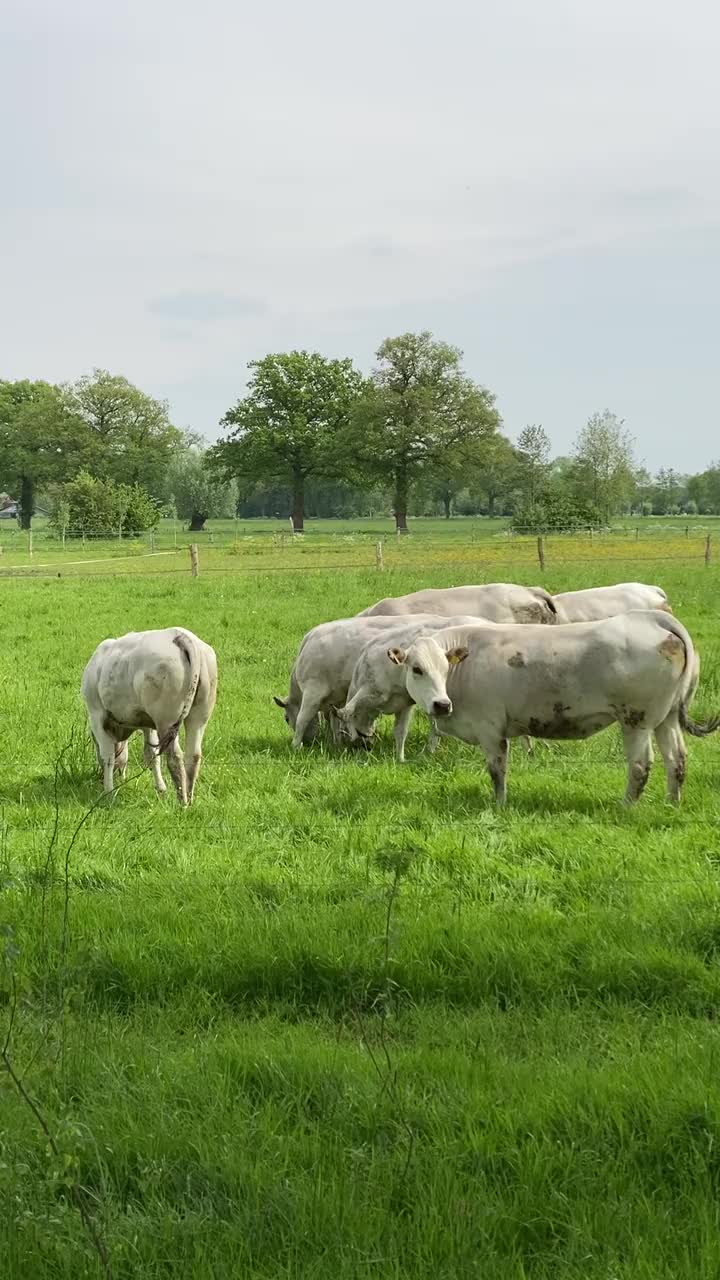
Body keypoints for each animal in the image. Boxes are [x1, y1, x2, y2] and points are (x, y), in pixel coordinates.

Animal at [81, 627, 215, 803]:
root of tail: (180, 635)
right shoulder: (147, 724)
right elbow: (152, 755)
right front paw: (161, 789)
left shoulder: (96, 715)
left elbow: (107, 756)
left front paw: (108, 793)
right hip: (198, 716)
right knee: (193, 756)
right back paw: (189, 799)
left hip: (166, 720)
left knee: (175, 758)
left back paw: (182, 802)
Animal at [274, 611, 476, 747]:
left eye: (286, 718)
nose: (310, 741)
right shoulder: (338, 698)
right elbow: (335, 720)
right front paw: (337, 743)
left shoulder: (313, 690)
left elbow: (303, 718)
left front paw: (296, 745)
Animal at [379, 609, 712, 798]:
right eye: (417, 669)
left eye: (444, 668)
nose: (441, 705)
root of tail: (650, 618)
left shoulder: (490, 729)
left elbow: (497, 772)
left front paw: (499, 807)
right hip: (666, 717)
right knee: (676, 761)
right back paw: (672, 804)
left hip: (636, 720)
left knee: (641, 767)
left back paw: (626, 808)